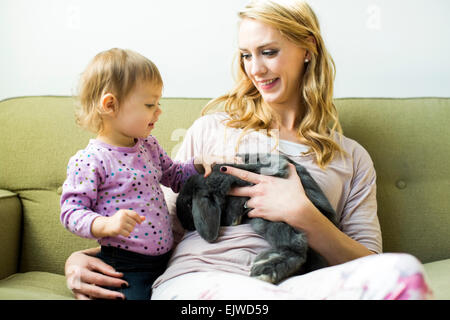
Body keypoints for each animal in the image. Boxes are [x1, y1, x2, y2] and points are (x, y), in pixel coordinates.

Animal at [176, 154, 338, 284]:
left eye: (189, 203)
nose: (187, 225)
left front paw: (234, 216)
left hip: (275, 220)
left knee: (297, 248)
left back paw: (264, 271)